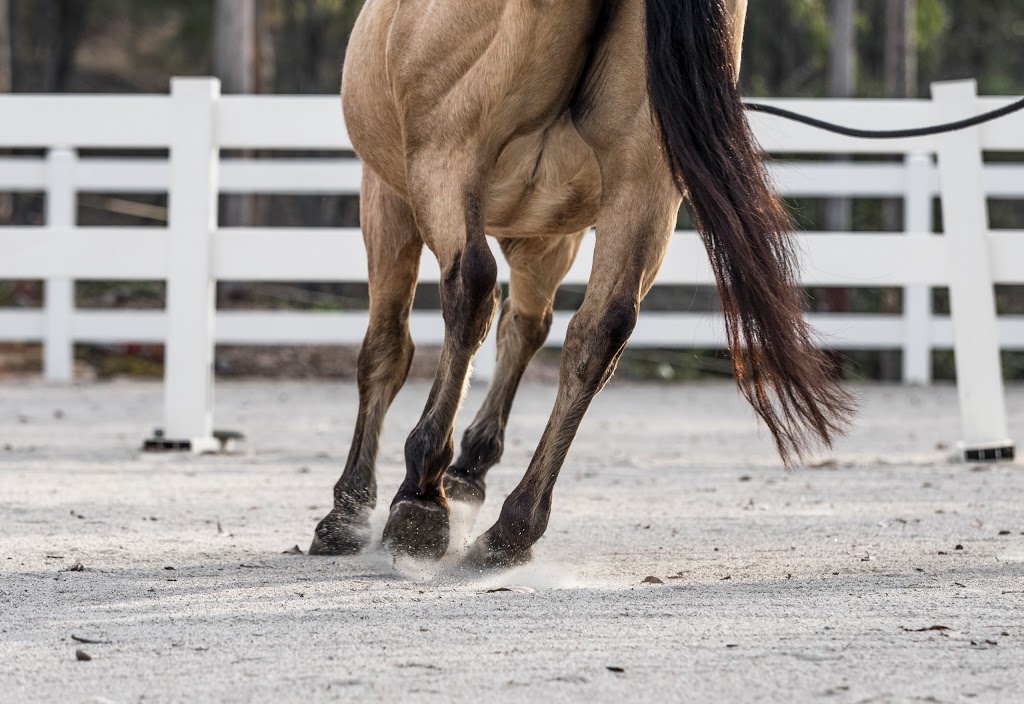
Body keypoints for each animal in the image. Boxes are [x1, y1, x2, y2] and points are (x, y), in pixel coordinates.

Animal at [307, 0, 851, 564]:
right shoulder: (551, 234)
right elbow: (526, 328)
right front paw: (470, 467)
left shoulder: (387, 194)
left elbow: (387, 348)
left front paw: (349, 509)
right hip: (642, 186)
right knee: (599, 330)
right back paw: (512, 527)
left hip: (446, 161)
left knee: (471, 289)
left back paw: (422, 493)